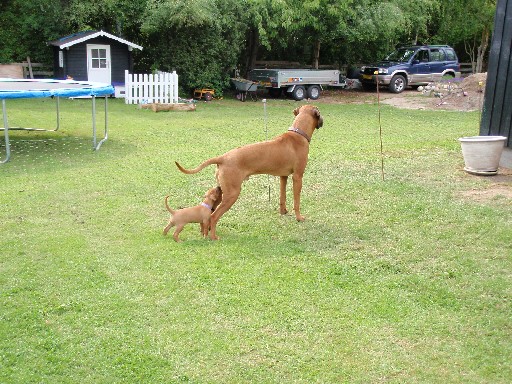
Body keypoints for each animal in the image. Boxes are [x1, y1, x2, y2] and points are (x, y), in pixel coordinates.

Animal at [174, 103, 322, 238]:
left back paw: (205, 231)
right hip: (232, 194)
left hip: (221, 192)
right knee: (214, 216)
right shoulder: (297, 177)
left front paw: (283, 212)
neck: (298, 133)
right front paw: (299, 218)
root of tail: (223, 158)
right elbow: (297, 201)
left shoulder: (283, 177)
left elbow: (282, 197)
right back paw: (213, 237)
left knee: (209, 212)